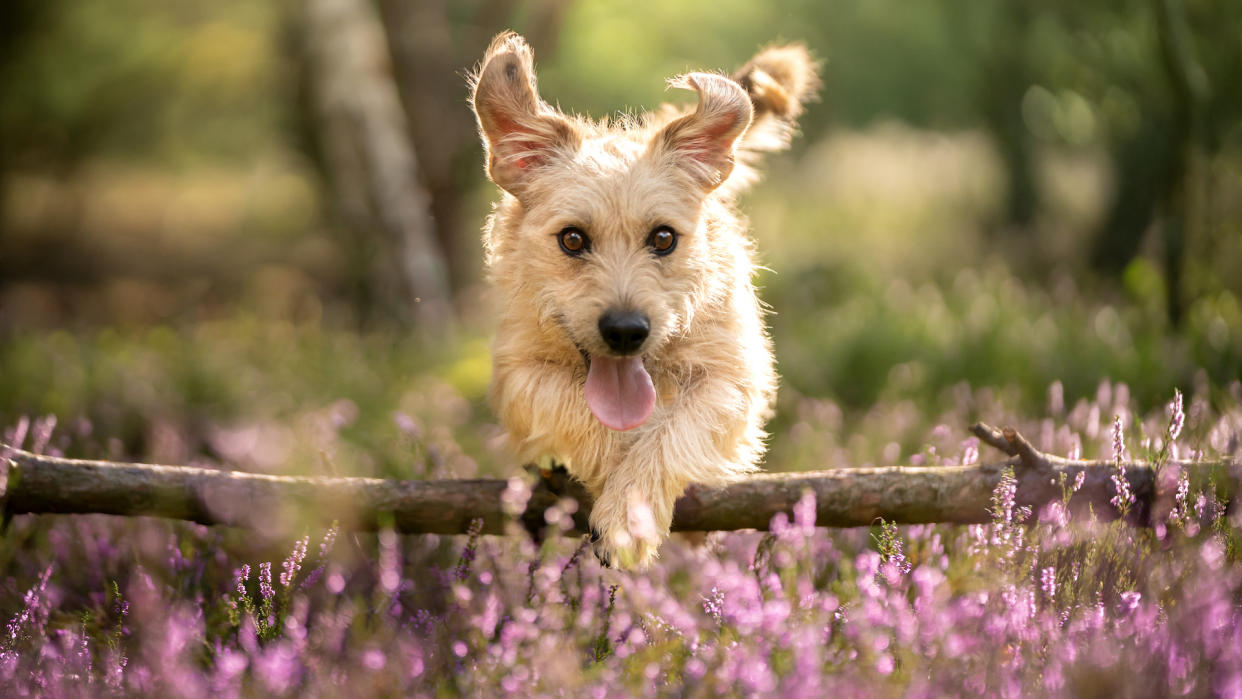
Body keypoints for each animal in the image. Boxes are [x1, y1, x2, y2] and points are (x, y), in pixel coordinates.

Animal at [469, 32, 819, 568]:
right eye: (572, 239)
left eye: (663, 238)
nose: (626, 331)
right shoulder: (518, 372)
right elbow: (578, 412)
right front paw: (618, 486)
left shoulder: (732, 378)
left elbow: (677, 432)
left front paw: (630, 510)